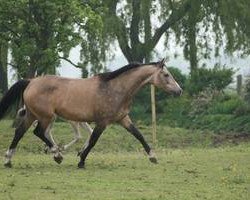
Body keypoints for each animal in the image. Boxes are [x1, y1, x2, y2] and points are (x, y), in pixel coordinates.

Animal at [0, 58, 182, 168]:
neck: (115, 88)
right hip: (46, 117)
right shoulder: (102, 122)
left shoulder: (123, 119)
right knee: (38, 132)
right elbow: (93, 140)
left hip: (33, 115)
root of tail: (31, 82)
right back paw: (57, 154)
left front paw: (153, 156)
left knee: (19, 132)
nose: (179, 91)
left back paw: (8, 160)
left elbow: (139, 135)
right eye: (166, 75)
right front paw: (81, 160)